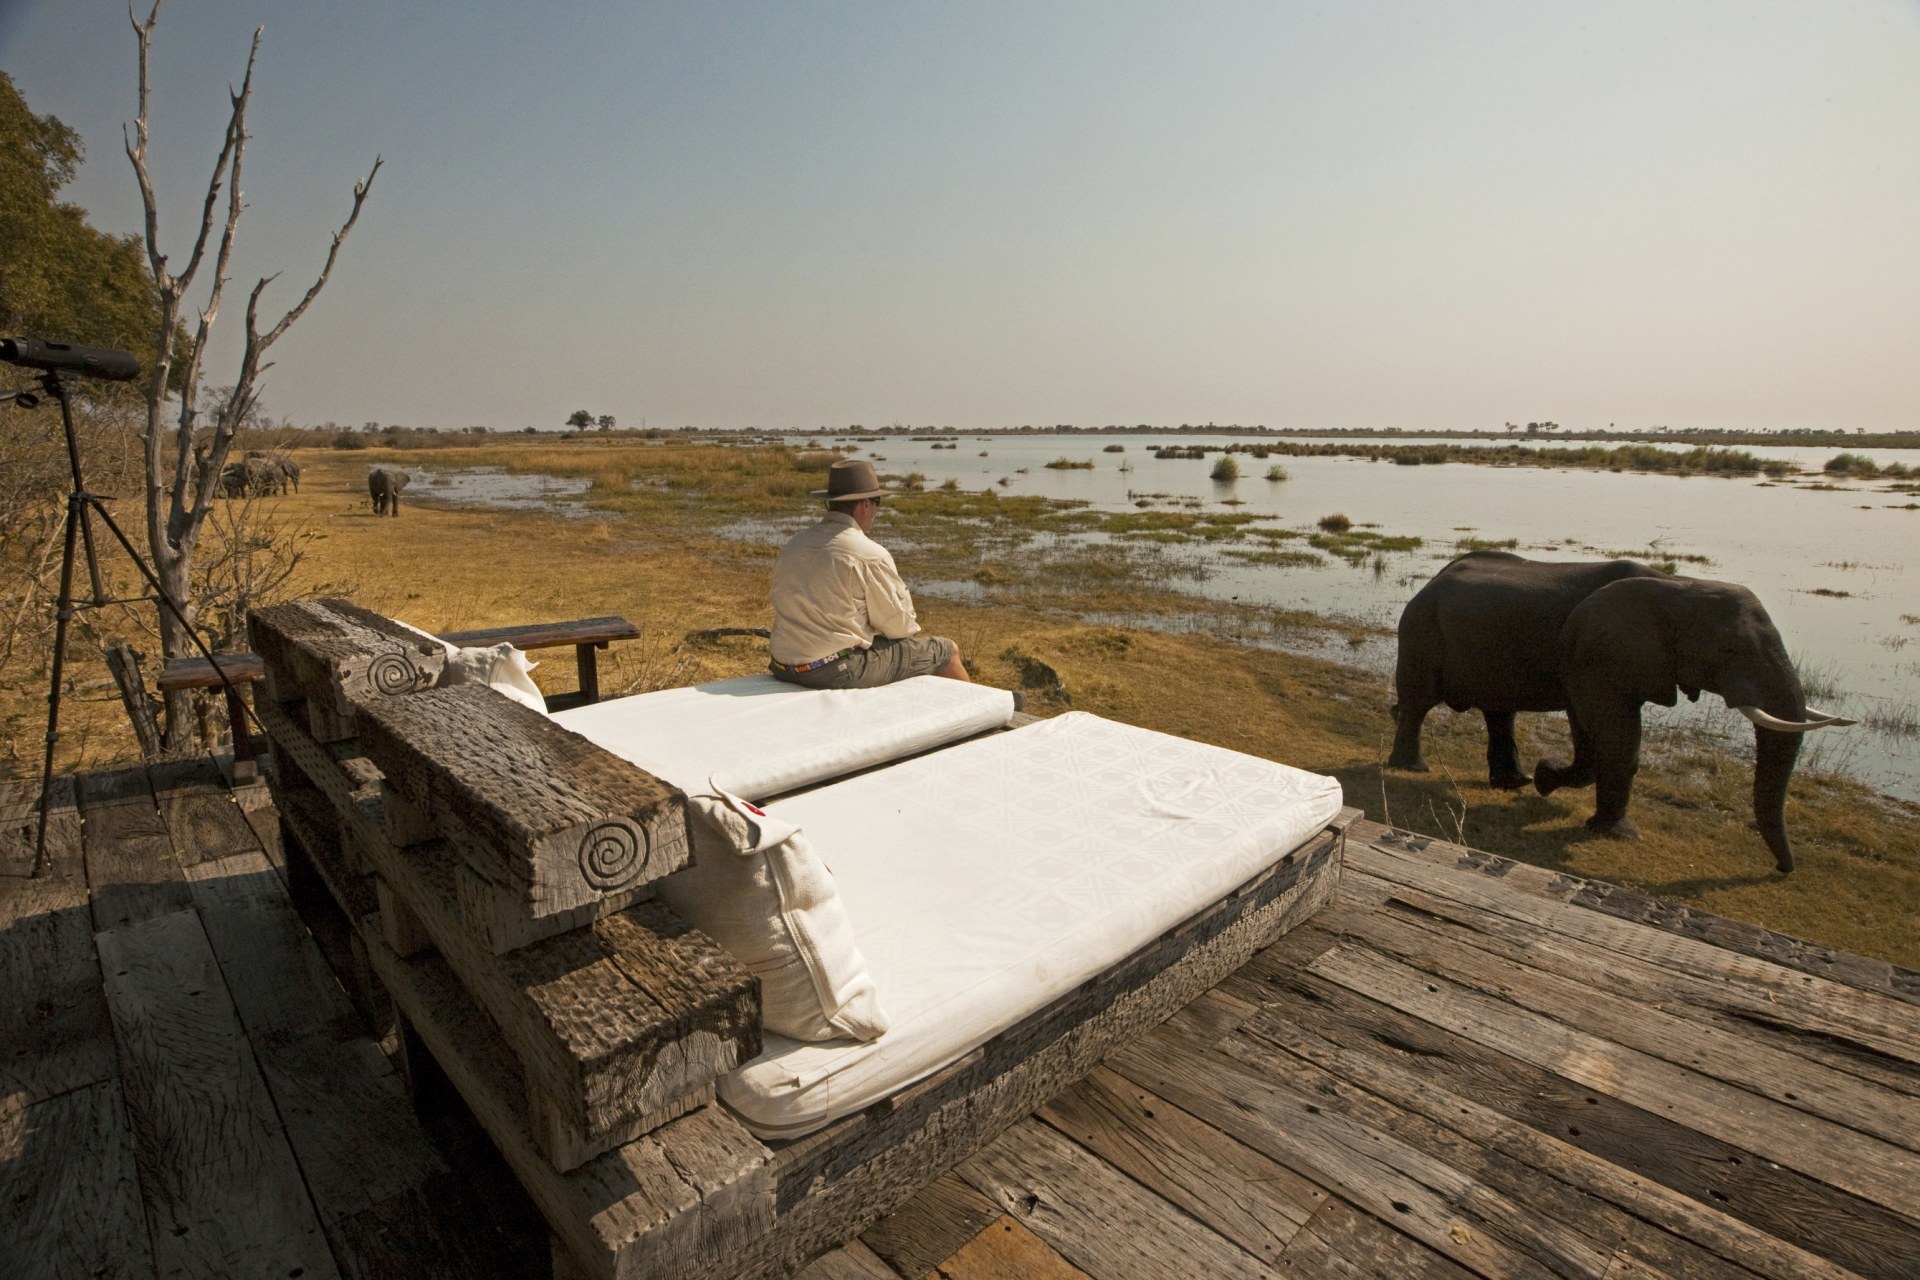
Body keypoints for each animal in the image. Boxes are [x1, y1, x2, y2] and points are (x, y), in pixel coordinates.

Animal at [1390, 552, 1850, 871]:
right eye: (1730, 651)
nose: (1782, 869)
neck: (1678, 586)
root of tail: (1431, 582)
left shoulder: (1601, 659)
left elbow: (1589, 729)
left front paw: (1546, 781)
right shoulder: (1598, 653)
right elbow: (1617, 734)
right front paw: (1615, 831)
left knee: (1500, 714)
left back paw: (1514, 783)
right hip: (1420, 632)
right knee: (1416, 704)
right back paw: (1413, 768)